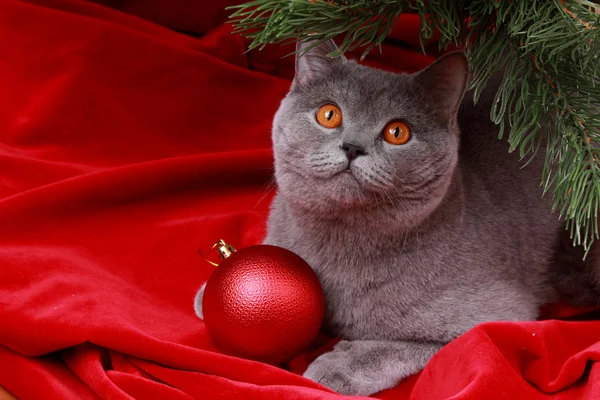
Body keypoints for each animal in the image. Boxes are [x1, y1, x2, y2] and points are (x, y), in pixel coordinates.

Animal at [197, 39, 600, 396]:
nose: (353, 147)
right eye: (329, 114)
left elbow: (403, 343)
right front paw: (214, 288)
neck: (338, 244)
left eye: (397, 132)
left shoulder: (500, 314)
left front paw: (339, 367)